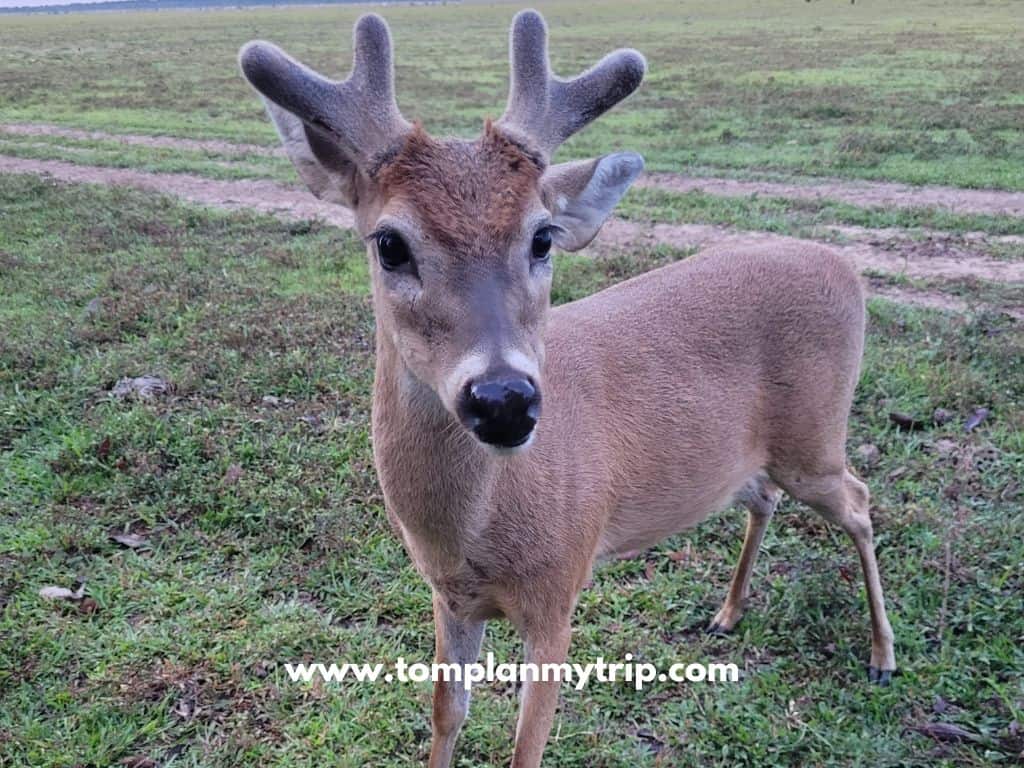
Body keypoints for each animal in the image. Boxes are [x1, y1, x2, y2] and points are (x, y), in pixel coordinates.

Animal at [239, 10, 896, 766]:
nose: (503, 400)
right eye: (390, 244)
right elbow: (446, 713)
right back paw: (727, 613)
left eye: (543, 237)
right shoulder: (448, 598)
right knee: (762, 497)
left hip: (816, 435)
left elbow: (527, 745)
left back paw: (883, 655)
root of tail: (844, 266)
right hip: (759, 456)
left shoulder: (559, 588)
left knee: (859, 502)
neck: (478, 530)